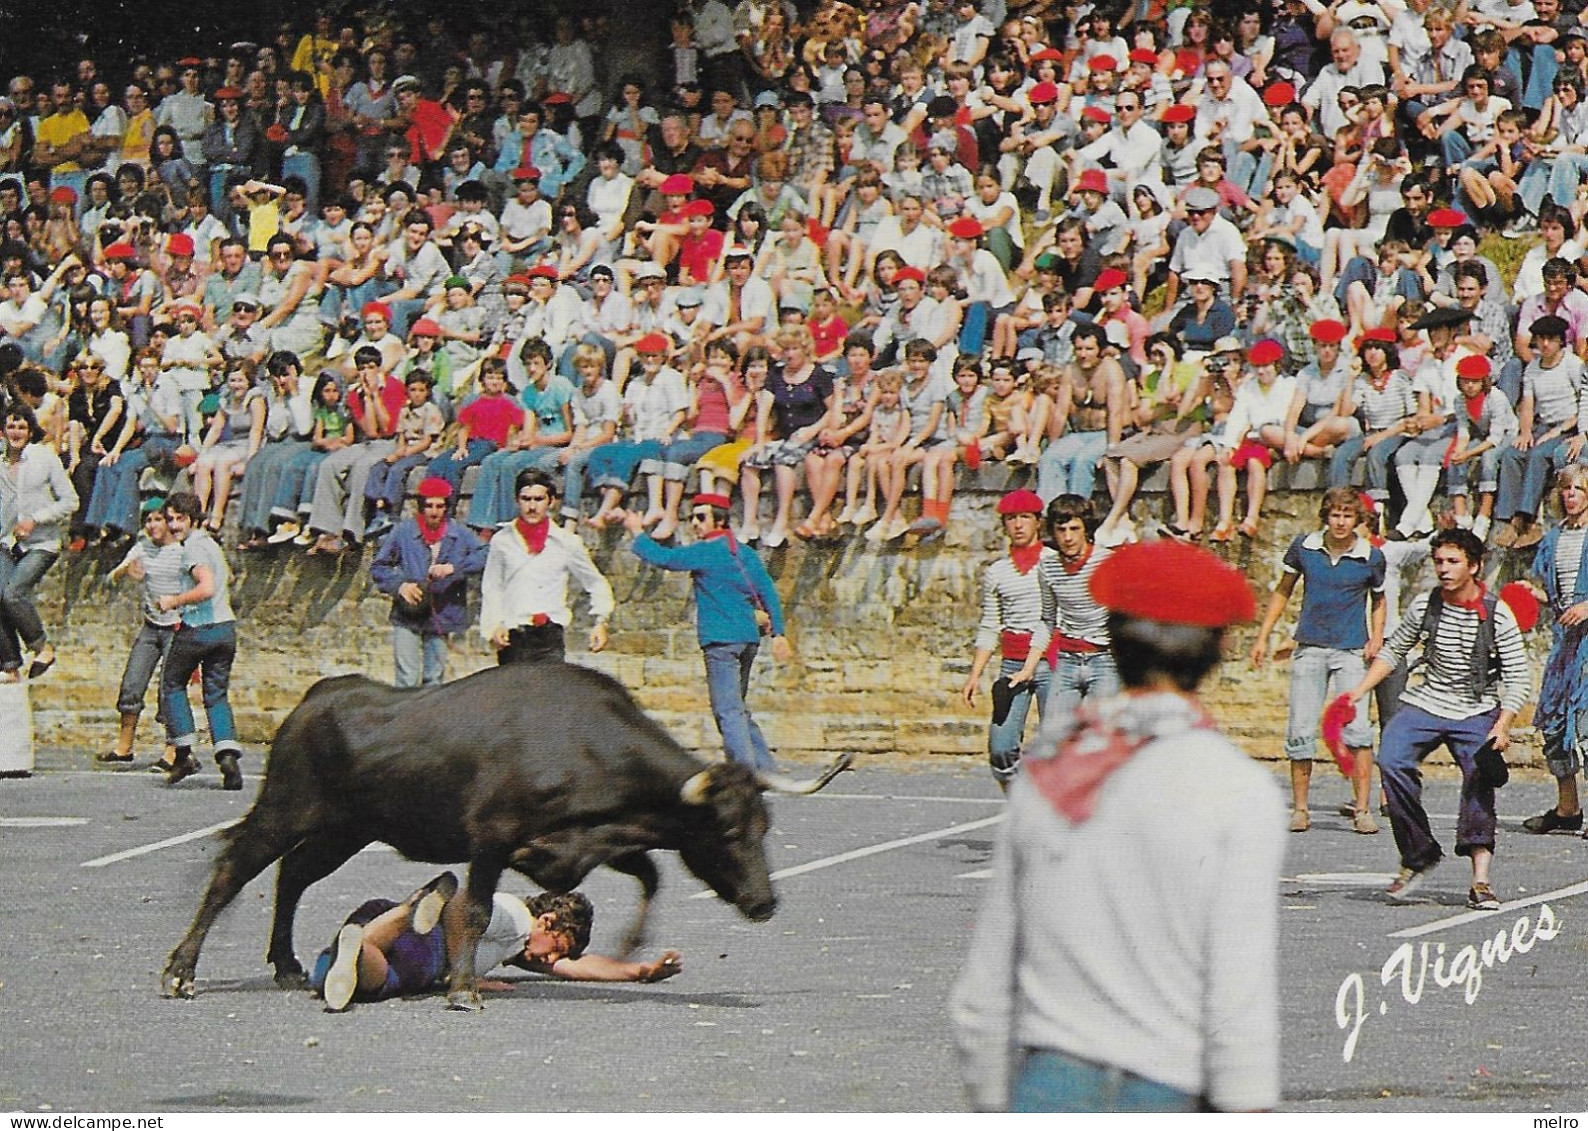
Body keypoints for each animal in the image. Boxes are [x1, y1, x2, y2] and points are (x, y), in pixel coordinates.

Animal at [162, 663, 857, 1010]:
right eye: (730, 827)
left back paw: (285, 965)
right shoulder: (491, 841)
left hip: (345, 831)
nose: (765, 903)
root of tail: (315, 700)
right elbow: (471, 909)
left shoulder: (573, 851)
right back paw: (180, 973)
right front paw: (463, 991)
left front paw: (633, 944)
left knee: (293, 875)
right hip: (288, 808)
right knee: (234, 869)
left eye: (766, 824)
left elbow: (650, 872)